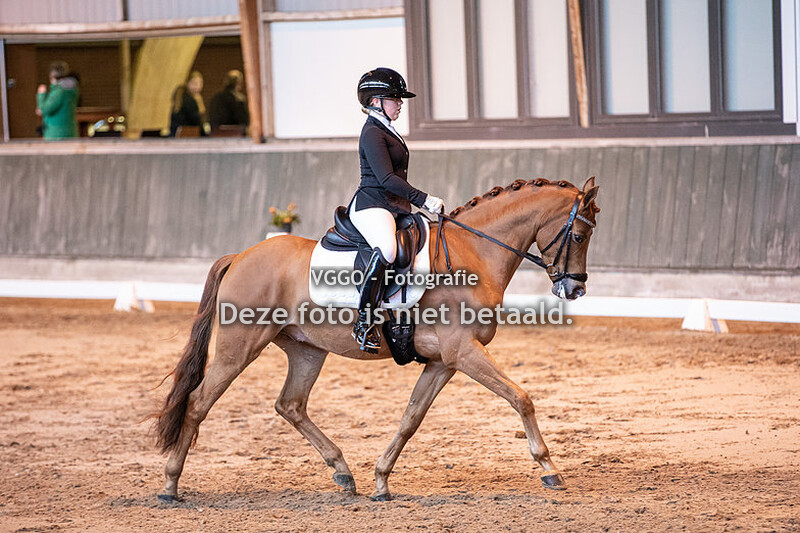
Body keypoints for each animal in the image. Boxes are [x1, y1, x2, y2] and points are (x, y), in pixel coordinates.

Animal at [154, 176, 600, 502]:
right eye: (579, 236)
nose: (575, 289)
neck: (472, 254)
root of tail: (240, 256)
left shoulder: (444, 362)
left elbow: (411, 418)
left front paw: (382, 481)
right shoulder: (464, 353)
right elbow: (521, 397)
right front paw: (549, 469)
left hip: (307, 349)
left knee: (290, 405)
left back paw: (343, 473)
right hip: (239, 347)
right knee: (198, 403)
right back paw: (170, 486)